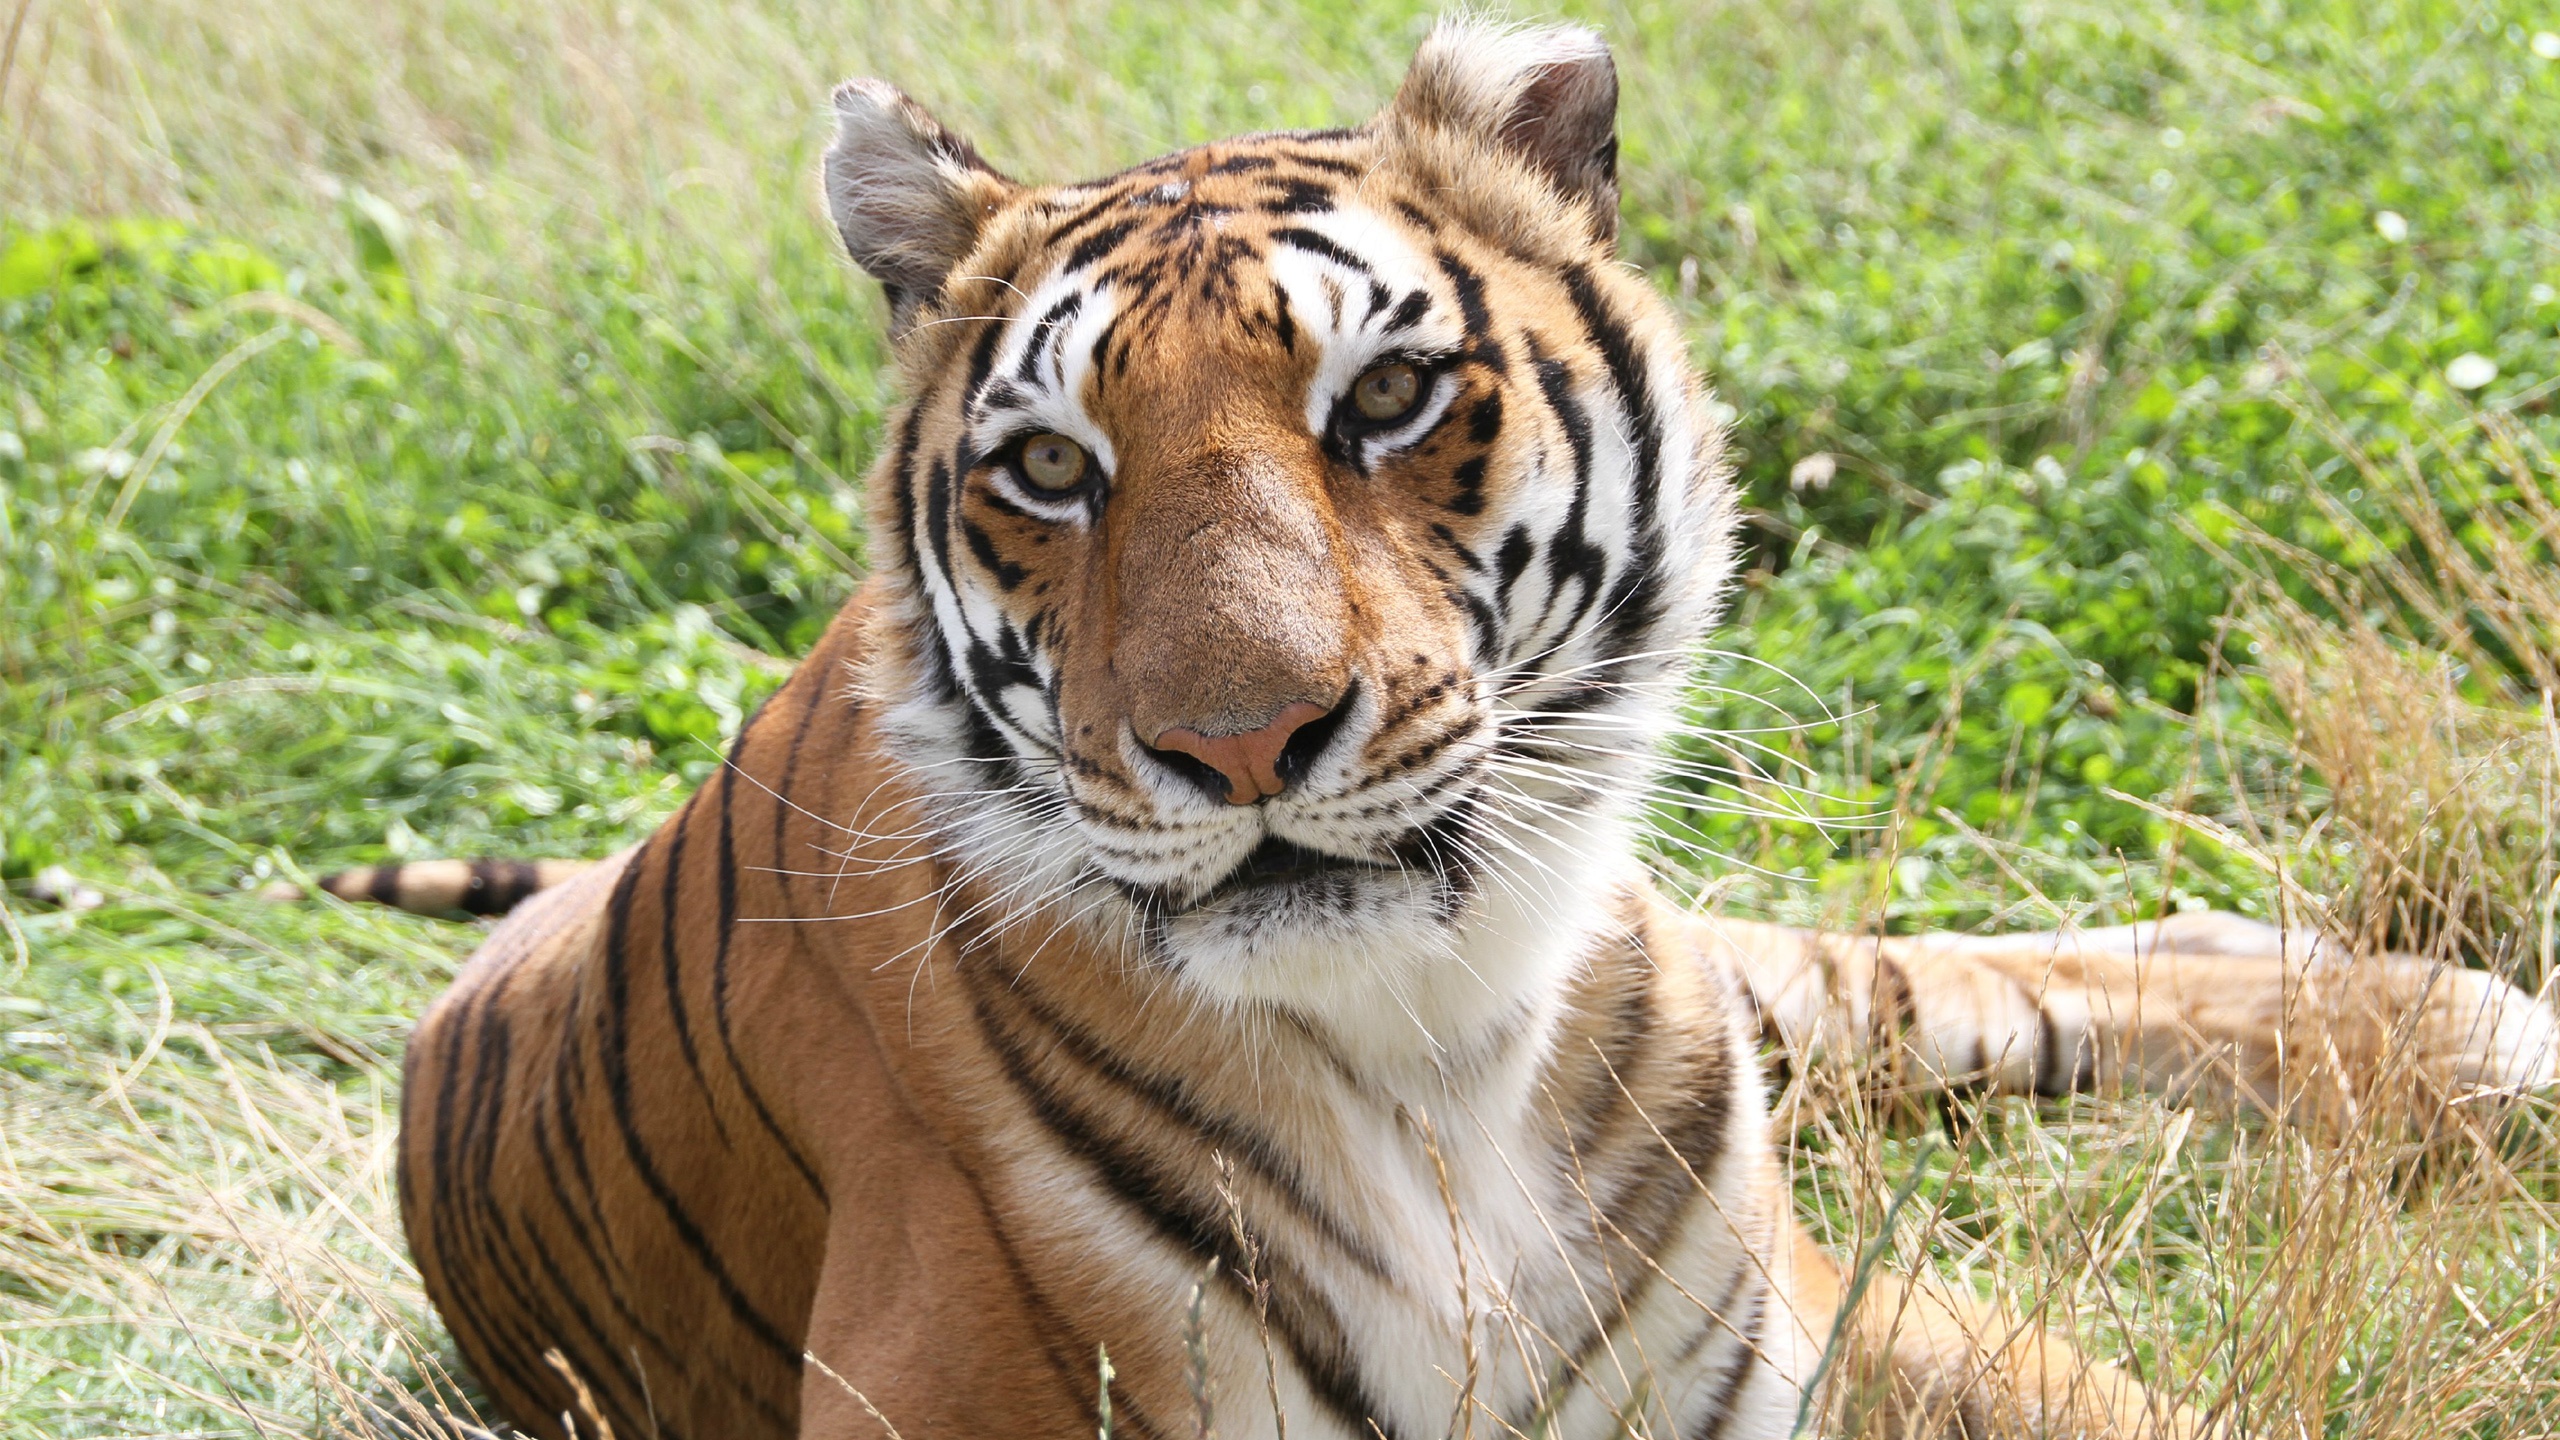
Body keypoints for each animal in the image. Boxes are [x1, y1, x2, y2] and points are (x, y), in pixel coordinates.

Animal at [371, 20, 2560, 1440]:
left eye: (1385, 399)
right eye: (1053, 469)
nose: (1241, 743)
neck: (1434, 1057)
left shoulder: (1813, 1315)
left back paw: (2447, 1027)